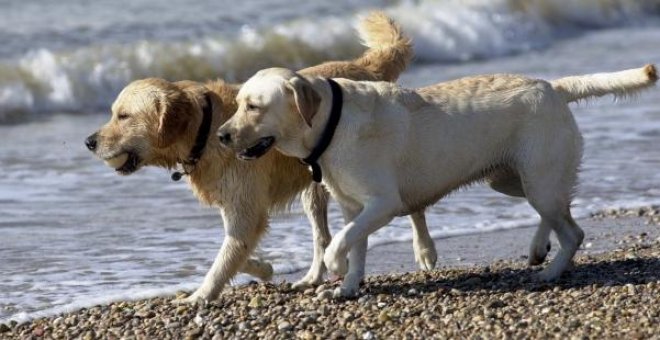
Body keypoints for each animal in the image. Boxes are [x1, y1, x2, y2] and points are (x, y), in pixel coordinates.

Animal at [85, 11, 438, 302]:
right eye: (114, 113)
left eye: (123, 116)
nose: (89, 141)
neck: (204, 129)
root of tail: (362, 66)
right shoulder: (236, 205)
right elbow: (236, 253)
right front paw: (264, 267)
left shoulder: (244, 206)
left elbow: (224, 259)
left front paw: (199, 296)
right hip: (315, 189)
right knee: (321, 236)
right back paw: (312, 276)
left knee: (413, 206)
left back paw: (425, 250)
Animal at [220, 65, 656, 296]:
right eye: (238, 103)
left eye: (253, 106)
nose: (222, 136)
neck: (331, 123)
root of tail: (553, 86)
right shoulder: (352, 207)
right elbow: (356, 246)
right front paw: (348, 288)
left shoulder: (382, 204)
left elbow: (342, 242)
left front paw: (334, 265)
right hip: (515, 180)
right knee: (560, 211)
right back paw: (538, 248)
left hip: (539, 179)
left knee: (573, 230)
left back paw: (549, 271)